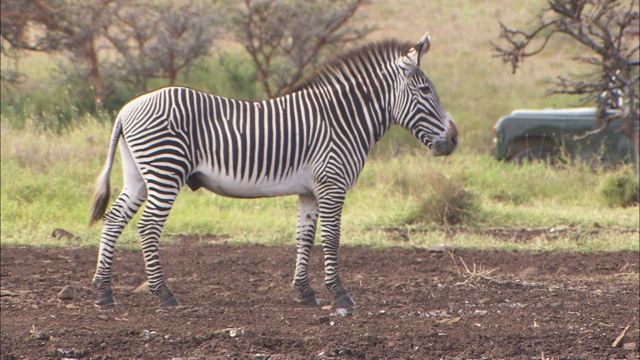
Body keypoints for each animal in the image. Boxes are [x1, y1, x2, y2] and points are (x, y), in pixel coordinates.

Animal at [91, 31, 460, 308]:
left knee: (114, 220)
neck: (341, 119)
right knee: (148, 227)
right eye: (425, 90)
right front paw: (340, 294)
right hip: (166, 170)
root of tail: (126, 110)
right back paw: (164, 295)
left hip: (139, 175)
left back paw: (104, 292)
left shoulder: (311, 190)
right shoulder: (332, 184)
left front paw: (305, 292)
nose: (454, 139)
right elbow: (332, 237)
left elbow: (304, 236)